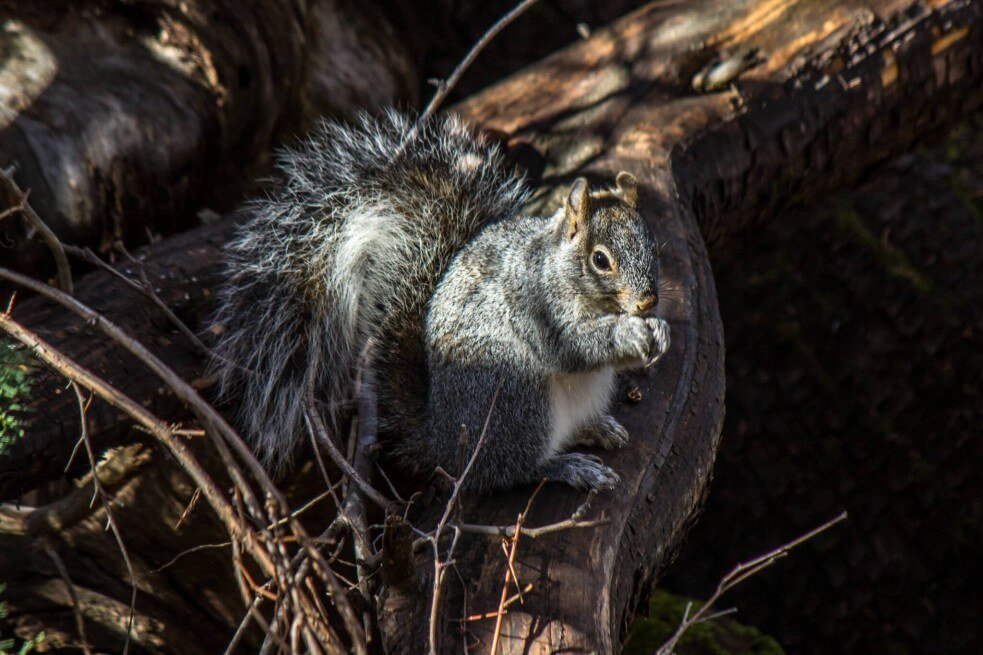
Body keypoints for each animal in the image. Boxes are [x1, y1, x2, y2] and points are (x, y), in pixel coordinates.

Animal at [208, 111, 668, 492]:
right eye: (600, 260)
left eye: (653, 246)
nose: (647, 302)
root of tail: (442, 443)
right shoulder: (535, 307)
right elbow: (572, 346)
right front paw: (629, 333)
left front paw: (659, 332)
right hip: (514, 397)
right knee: (504, 471)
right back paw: (567, 468)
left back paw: (595, 429)